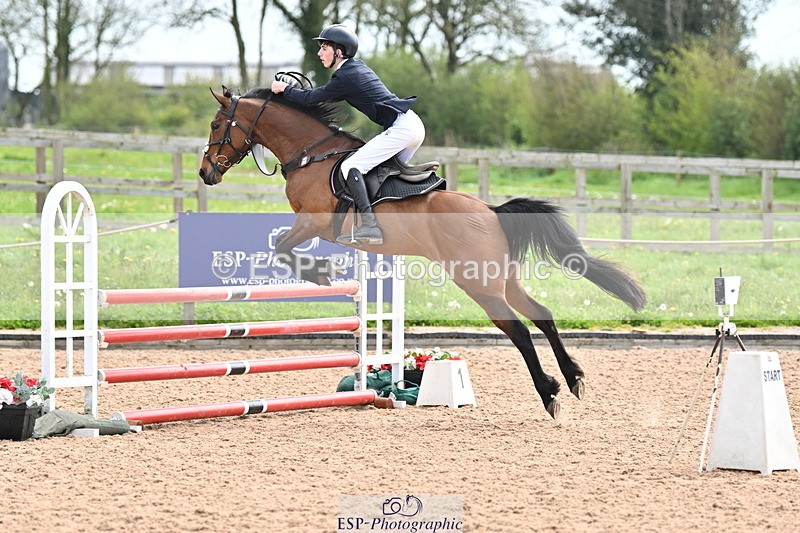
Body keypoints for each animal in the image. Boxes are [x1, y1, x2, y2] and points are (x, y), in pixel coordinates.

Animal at [198, 84, 647, 419]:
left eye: (218, 123)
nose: (206, 172)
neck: (311, 152)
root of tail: (491, 212)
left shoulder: (312, 222)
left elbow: (282, 248)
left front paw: (320, 273)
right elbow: (283, 248)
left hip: (477, 282)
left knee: (518, 328)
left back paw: (549, 392)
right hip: (503, 279)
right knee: (542, 315)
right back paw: (572, 379)